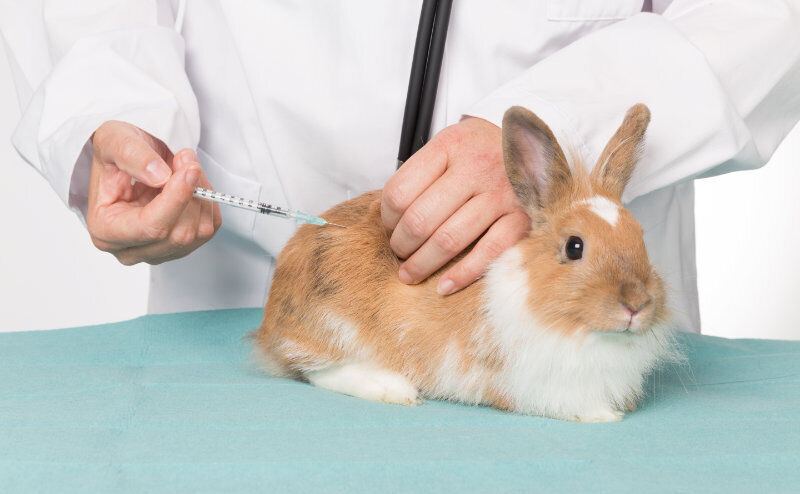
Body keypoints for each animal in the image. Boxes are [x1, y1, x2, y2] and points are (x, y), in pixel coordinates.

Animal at [254, 103, 680, 422]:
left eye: (640, 237)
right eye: (575, 247)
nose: (636, 306)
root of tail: (272, 317)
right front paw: (603, 415)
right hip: (333, 326)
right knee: (315, 369)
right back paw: (393, 389)